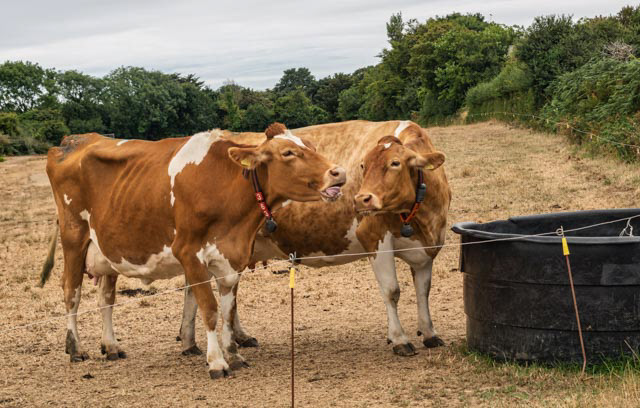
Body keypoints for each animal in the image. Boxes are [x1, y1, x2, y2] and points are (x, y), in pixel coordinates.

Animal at [40, 123, 346, 379]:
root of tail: (73, 141)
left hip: (108, 249)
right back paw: (75, 348)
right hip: (74, 238)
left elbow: (229, 309)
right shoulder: (189, 253)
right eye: (288, 152)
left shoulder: (231, 256)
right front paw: (217, 362)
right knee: (71, 292)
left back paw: (111, 346)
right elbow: (209, 309)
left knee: (106, 298)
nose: (338, 172)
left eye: (312, 146)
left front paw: (233, 354)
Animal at [182, 120, 451, 356]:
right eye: (362, 166)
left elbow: (423, 290)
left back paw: (224, 338)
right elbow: (392, 291)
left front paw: (430, 334)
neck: (423, 217)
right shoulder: (375, 238)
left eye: (395, 163)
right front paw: (399, 339)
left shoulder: (429, 246)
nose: (361, 199)